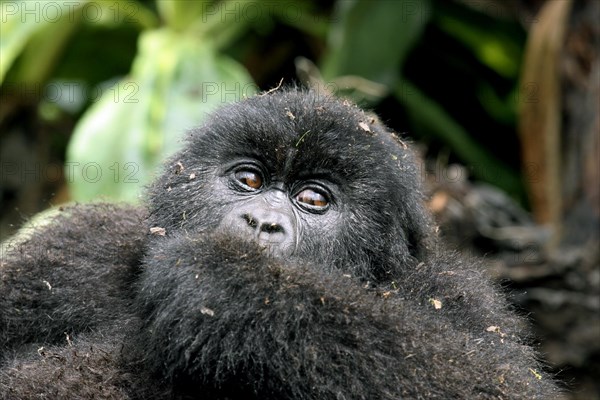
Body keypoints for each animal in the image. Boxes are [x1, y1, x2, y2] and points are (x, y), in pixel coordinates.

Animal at [1, 89, 564, 398]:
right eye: (249, 179)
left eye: (313, 198)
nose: (260, 222)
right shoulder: (81, 245)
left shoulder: (455, 292)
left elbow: (497, 381)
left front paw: (230, 286)